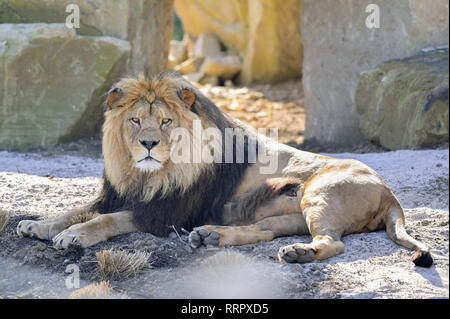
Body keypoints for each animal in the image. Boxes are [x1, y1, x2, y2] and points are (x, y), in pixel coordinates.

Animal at [16, 70, 432, 268]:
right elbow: (74, 210)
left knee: (334, 243)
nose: (148, 144)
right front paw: (37, 225)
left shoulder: (167, 213)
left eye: (165, 121)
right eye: (135, 121)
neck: (146, 175)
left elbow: (106, 221)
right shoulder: (115, 195)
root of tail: (390, 192)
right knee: (265, 231)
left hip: (321, 193)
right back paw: (214, 237)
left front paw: (74, 237)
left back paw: (297, 254)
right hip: (293, 212)